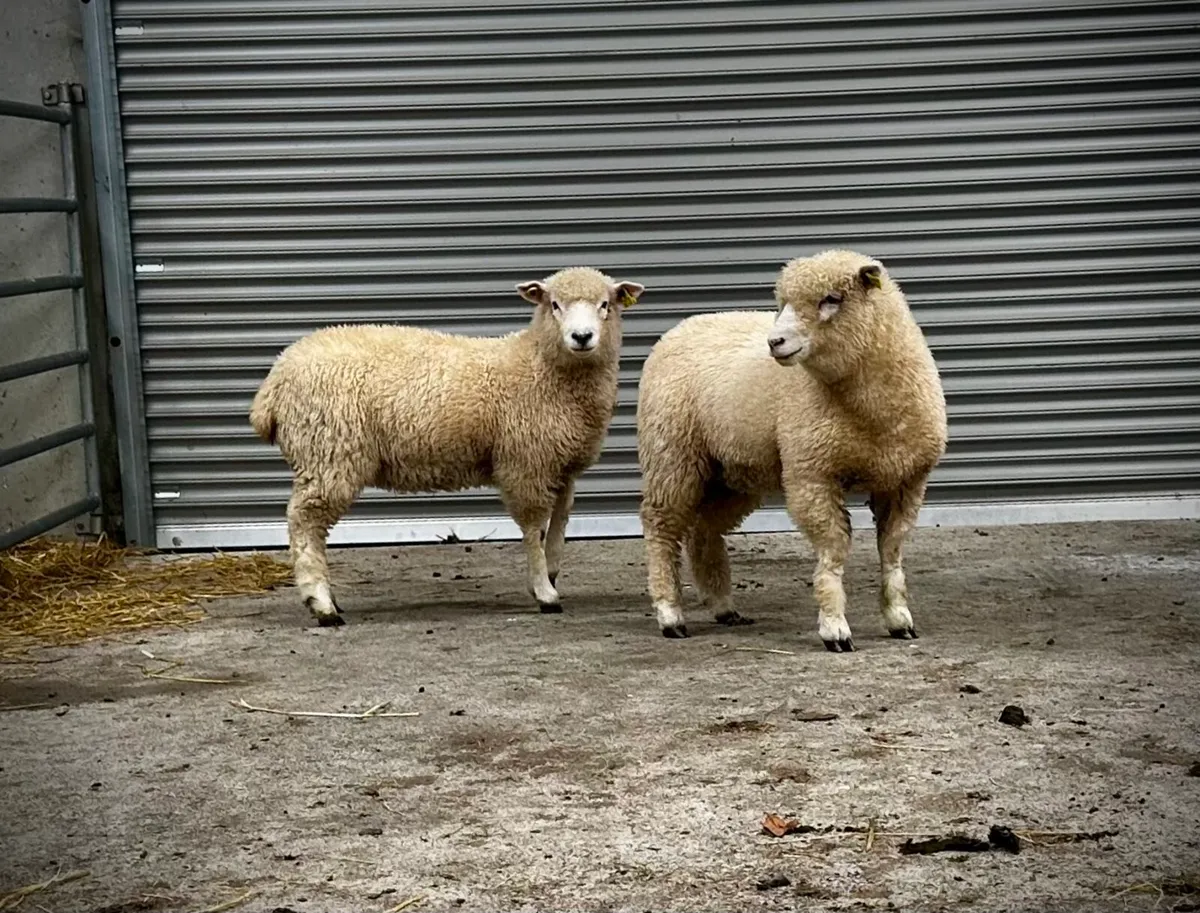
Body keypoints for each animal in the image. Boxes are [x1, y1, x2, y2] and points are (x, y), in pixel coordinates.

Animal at [249, 267, 645, 626]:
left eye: (606, 304)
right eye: (555, 304)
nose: (582, 336)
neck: (540, 366)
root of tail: (276, 379)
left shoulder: (562, 463)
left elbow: (560, 526)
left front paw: (550, 572)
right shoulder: (524, 463)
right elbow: (535, 529)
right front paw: (544, 592)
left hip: (322, 455)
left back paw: (329, 599)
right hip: (329, 452)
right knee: (304, 523)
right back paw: (321, 604)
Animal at [637, 249, 946, 651]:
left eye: (831, 299)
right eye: (782, 303)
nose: (774, 342)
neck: (872, 413)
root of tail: (681, 327)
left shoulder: (906, 481)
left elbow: (891, 552)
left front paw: (899, 619)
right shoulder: (811, 472)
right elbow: (833, 549)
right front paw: (835, 628)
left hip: (731, 471)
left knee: (703, 531)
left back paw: (723, 607)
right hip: (671, 454)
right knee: (661, 528)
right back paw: (670, 614)